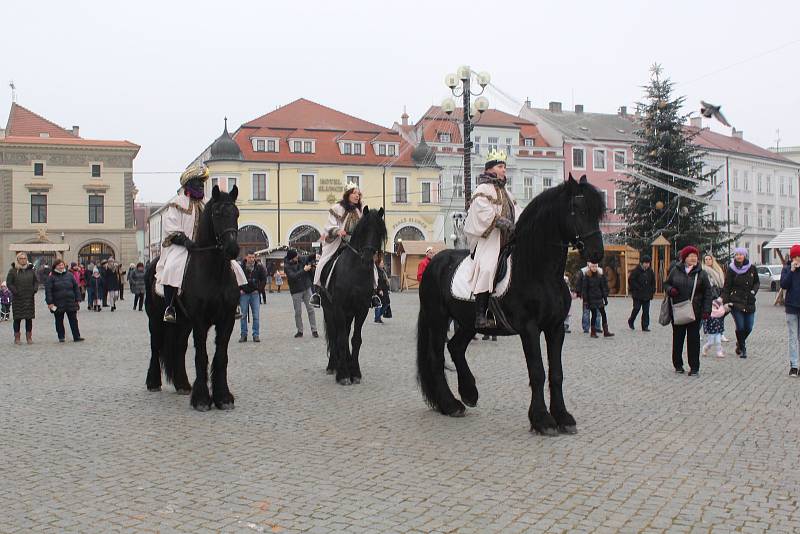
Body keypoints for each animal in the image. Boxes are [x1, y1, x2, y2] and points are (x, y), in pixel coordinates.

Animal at [145, 186, 241, 412]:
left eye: (236, 213)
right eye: (217, 213)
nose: (232, 249)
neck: (215, 273)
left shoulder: (227, 320)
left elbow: (220, 355)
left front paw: (223, 397)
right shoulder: (200, 321)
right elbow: (202, 355)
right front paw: (202, 399)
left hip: (183, 322)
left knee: (179, 347)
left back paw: (182, 384)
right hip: (155, 319)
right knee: (155, 345)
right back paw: (153, 382)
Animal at [324, 207, 390, 388]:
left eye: (379, 231)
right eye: (364, 229)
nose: (367, 257)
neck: (355, 272)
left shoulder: (361, 309)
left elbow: (355, 339)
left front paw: (355, 372)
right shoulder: (338, 308)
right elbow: (340, 339)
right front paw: (343, 374)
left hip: (348, 313)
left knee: (345, 334)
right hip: (329, 310)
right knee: (335, 334)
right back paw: (333, 365)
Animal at [416, 174, 604, 438]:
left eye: (597, 212)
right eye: (577, 209)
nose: (597, 253)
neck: (538, 271)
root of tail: (436, 262)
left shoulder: (556, 328)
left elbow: (556, 373)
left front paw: (563, 417)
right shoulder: (529, 329)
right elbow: (537, 372)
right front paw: (542, 420)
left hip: (467, 323)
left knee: (455, 347)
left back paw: (469, 393)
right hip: (438, 319)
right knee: (436, 358)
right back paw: (450, 404)